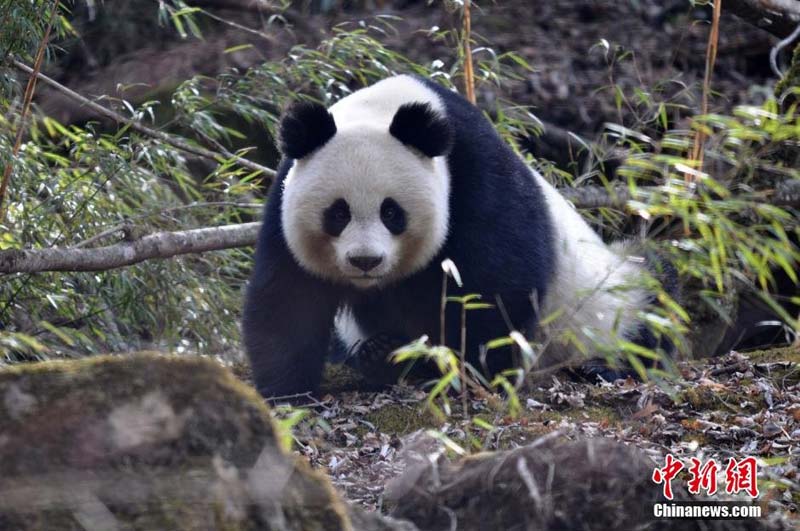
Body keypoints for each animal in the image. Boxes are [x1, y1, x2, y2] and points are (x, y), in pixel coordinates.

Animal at [243, 75, 670, 398]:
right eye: (338, 213)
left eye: (391, 212)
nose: (365, 261)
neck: (386, 108)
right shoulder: (284, 202)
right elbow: (288, 297)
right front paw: (287, 392)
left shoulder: (476, 179)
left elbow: (496, 286)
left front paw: (466, 371)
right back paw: (380, 351)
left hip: (611, 298)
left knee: (656, 297)